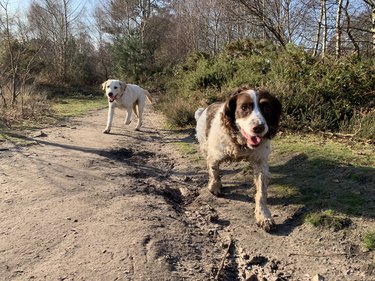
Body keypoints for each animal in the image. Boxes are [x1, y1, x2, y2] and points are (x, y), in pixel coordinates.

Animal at [197, 86, 282, 231]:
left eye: (267, 107)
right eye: (244, 107)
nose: (258, 127)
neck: (241, 143)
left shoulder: (260, 162)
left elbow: (261, 192)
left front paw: (263, 216)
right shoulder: (214, 154)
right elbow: (214, 170)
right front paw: (215, 186)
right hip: (204, 143)